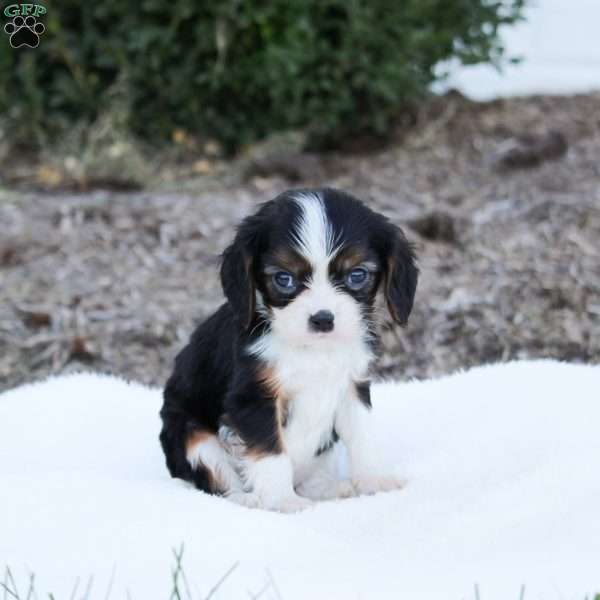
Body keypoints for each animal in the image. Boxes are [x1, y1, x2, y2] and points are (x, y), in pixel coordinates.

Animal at [158, 189, 418, 510]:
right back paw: (246, 498)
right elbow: (271, 451)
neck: (312, 350)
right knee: (216, 479)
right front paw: (282, 500)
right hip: (191, 435)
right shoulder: (255, 397)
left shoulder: (351, 387)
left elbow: (362, 436)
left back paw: (326, 488)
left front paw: (373, 481)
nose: (323, 319)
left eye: (357, 275)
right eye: (284, 279)